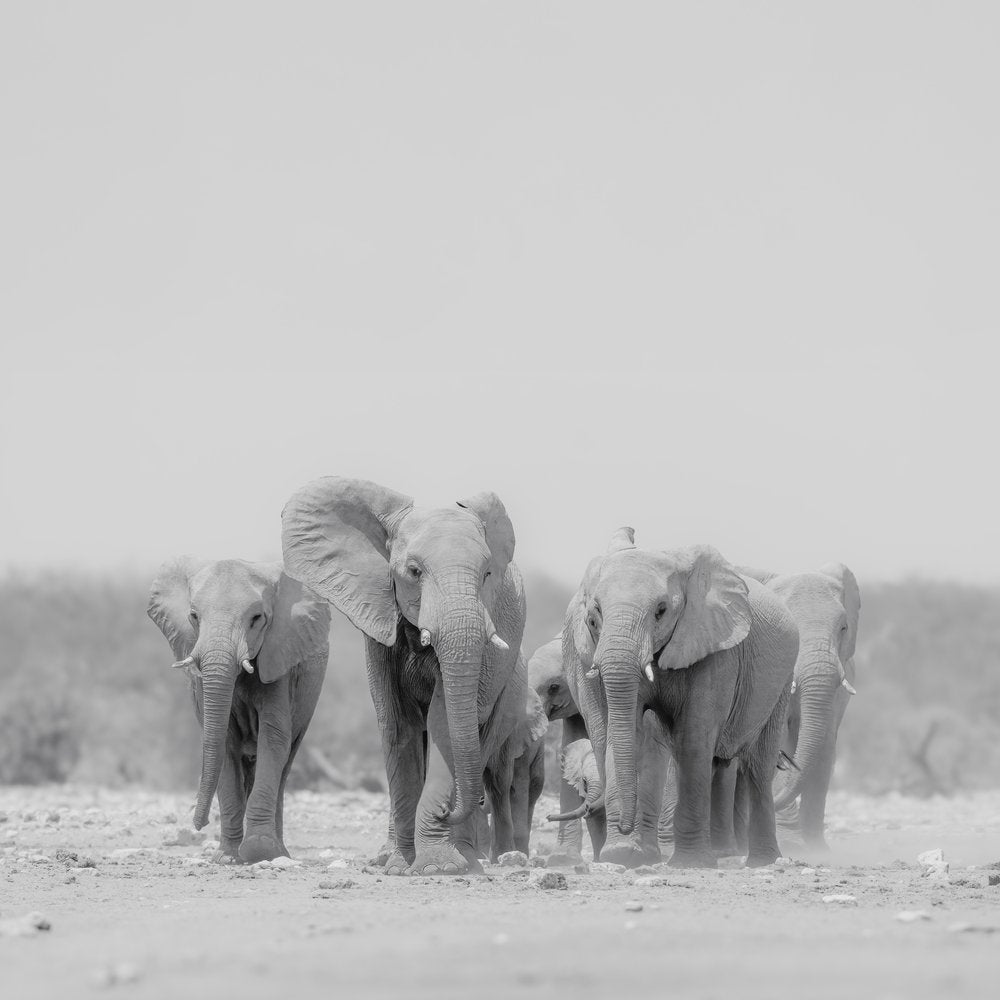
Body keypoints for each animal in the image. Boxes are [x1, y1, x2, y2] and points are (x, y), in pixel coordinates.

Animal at [147, 558, 330, 863]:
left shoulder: (278, 659)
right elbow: (223, 742)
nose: (199, 824)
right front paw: (228, 858)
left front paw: (259, 851)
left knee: (284, 765)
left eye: (257, 618)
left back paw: (280, 852)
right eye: (194, 616)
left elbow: (273, 738)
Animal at [281, 476, 526, 876]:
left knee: (481, 734)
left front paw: (439, 868)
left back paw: (468, 857)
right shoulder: (379, 623)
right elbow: (398, 724)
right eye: (414, 571)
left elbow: (443, 722)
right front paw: (400, 866)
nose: (447, 812)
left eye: (487, 574)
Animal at [564, 529, 798, 868]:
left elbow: (693, 738)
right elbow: (616, 733)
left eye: (661, 611)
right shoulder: (586, 657)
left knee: (757, 765)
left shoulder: (716, 648)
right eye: (593, 618)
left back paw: (762, 862)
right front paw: (622, 855)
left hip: (780, 680)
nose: (624, 824)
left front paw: (692, 863)